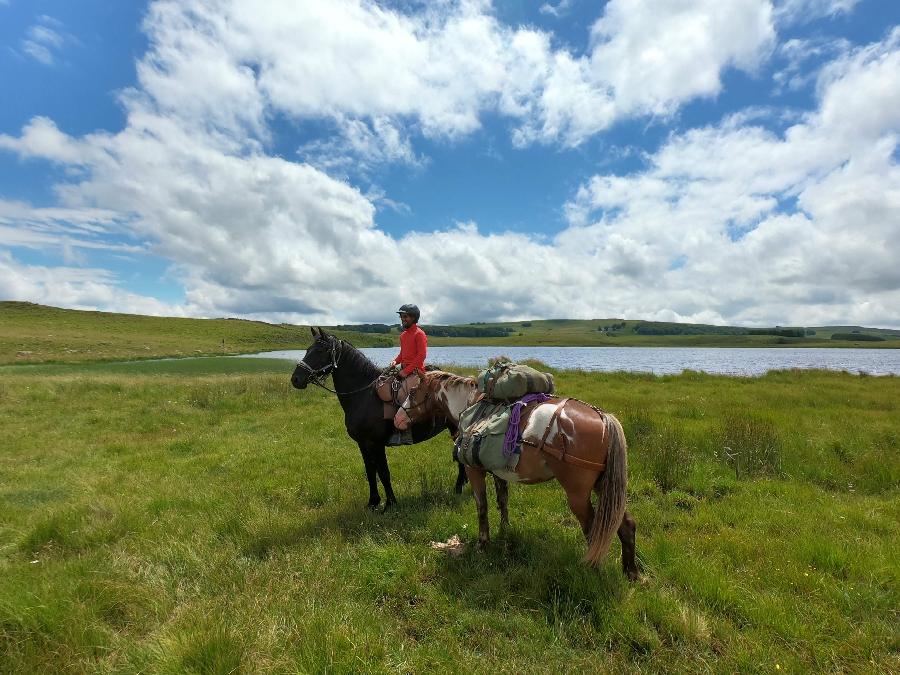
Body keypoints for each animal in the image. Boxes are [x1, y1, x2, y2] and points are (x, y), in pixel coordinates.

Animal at [292, 330, 468, 510]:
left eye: (320, 351)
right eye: (308, 349)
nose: (296, 379)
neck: (364, 395)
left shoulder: (376, 444)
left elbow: (383, 473)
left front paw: (390, 504)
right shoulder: (363, 443)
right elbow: (370, 471)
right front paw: (373, 502)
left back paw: (458, 488)